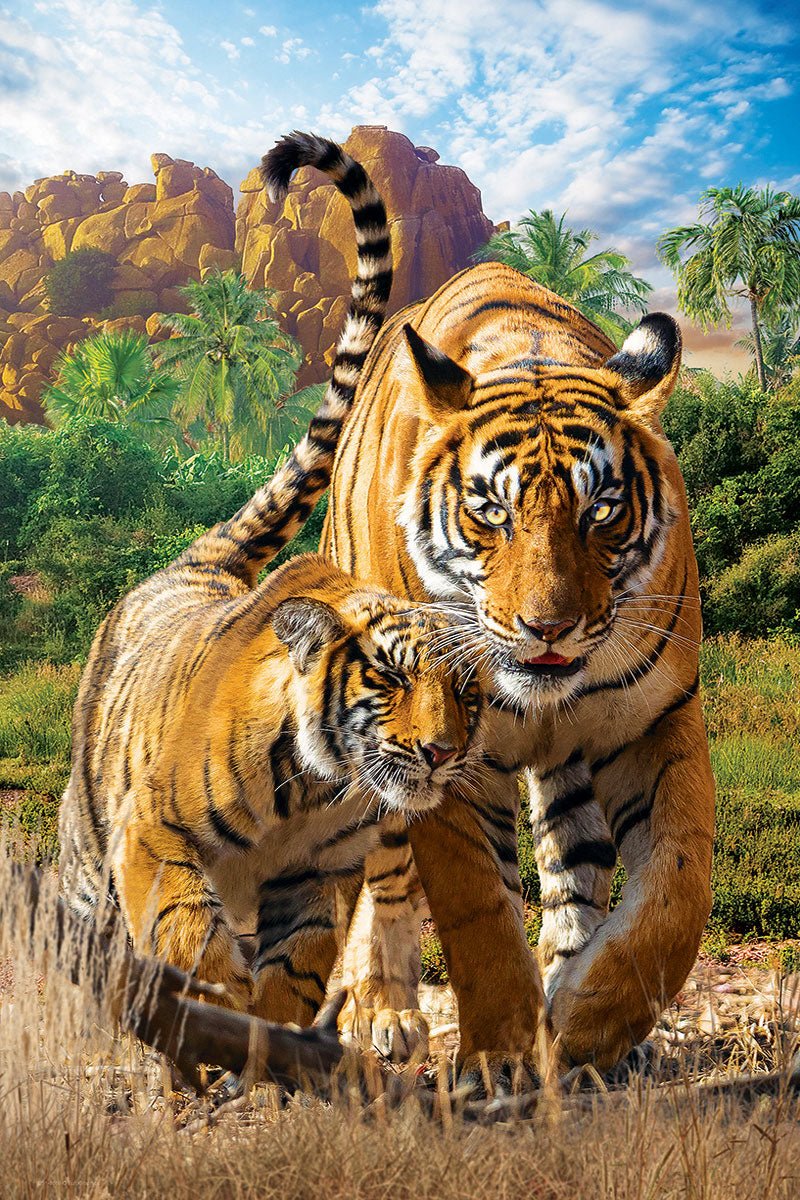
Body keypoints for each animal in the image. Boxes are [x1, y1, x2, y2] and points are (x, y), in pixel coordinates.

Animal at [57, 132, 484, 1025]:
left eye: (468, 692)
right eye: (391, 677)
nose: (441, 754)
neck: (320, 790)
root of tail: (196, 562)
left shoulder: (320, 877)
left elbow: (296, 967)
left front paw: (269, 1032)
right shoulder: (152, 833)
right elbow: (188, 928)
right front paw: (211, 1006)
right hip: (87, 842)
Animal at [315, 256, 715, 1076]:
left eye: (601, 511)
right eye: (492, 512)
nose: (548, 628)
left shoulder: (656, 720)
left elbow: (677, 890)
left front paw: (587, 1025)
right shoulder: (441, 758)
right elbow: (479, 911)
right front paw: (501, 1057)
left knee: (574, 866)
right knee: (385, 874)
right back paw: (384, 1013)